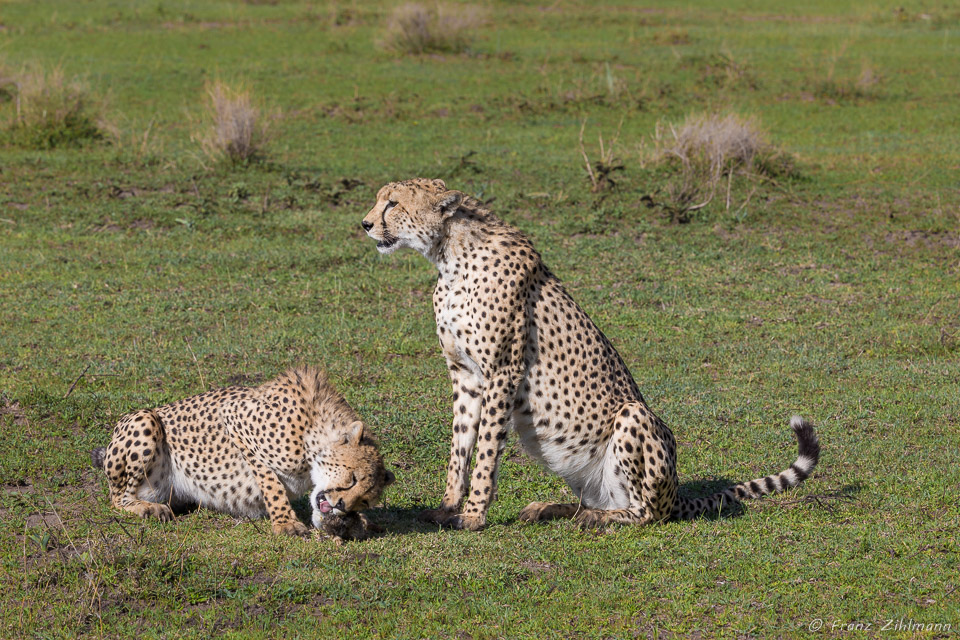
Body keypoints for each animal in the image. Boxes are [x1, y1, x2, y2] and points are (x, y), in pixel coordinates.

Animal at [88, 364, 392, 536]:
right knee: (118, 498)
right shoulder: (235, 418)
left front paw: (357, 523)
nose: (342, 505)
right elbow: (271, 484)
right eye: (352, 478)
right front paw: (285, 523)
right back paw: (147, 508)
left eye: (365, 500)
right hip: (145, 419)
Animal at [360, 179, 816, 528]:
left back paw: (597, 519)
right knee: (601, 500)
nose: (364, 224)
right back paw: (551, 508)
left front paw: (473, 515)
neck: (450, 254)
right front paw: (447, 508)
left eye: (393, 203)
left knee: (646, 514)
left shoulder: (502, 372)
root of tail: (675, 495)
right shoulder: (465, 375)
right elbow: (460, 448)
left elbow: (486, 450)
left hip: (634, 416)